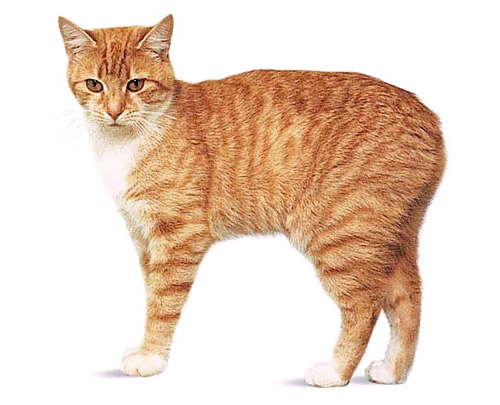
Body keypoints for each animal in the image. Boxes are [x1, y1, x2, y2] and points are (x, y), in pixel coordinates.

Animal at [58, 14, 445, 386]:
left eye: (135, 84)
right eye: (95, 84)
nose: (114, 111)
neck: (126, 142)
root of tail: (430, 118)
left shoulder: (178, 237)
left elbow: (162, 303)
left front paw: (151, 357)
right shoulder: (143, 237)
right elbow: (151, 292)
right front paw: (145, 349)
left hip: (340, 236)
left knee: (365, 305)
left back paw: (336, 372)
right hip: (390, 236)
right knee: (408, 299)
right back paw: (393, 372)